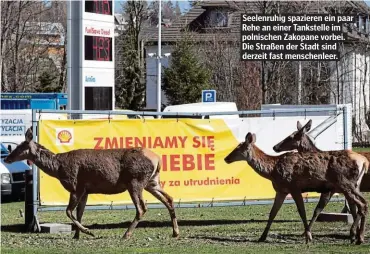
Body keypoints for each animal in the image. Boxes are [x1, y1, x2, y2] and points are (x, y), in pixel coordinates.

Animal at [3, 128, 180, 239]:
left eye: (20, 147)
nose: (7, 158)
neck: (58, 168)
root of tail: (157, 159)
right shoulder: (86, 190)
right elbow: (79, 213)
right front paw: (76, 235)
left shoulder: (76, 186)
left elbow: (69, 211)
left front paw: (88, 232)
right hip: (152, 181)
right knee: (169, 199)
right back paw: (175, 232)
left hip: (135, 181)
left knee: (142, 208)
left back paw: (126, 234)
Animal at [224, 131, 368, 244]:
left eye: (238, 148)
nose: (226, 158)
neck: (272, 171)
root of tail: (364, 162)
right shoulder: (281, 190)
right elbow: (272, 213)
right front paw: (262, 237)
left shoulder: (293, 186)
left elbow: (302, 211)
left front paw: (308, 237)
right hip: (352, 186)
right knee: (363, 204)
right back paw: (358, 237)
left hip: (344, 184)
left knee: (361, 204)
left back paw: (355, 236)